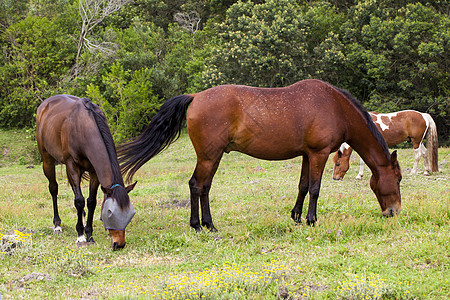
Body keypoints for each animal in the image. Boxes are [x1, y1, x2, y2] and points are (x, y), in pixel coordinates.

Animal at [35, 95, 135, 250]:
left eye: (130, 214)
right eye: (110, 213)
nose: (119, 244)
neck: (83, 127)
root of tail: (45, 104)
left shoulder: (94, 172)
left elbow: (91, 201)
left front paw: (89, 235)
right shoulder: (72, 166)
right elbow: (79, 200)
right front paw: (80, 236)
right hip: (47, 160)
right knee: (53, 189)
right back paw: (57, 225)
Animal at [118, 78, 400, 231]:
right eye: (397, 179)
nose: (394, 211)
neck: (334, 106)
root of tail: (196, 96)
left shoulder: (307, 155)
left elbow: (303, 185)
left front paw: (296, 217)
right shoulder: (318, 154)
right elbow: (315, 188)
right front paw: (311, 219)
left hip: (214, 157)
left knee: (204, 187)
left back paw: (208, 224)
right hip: (209, 156)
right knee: (196, 185)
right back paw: (199, 225)